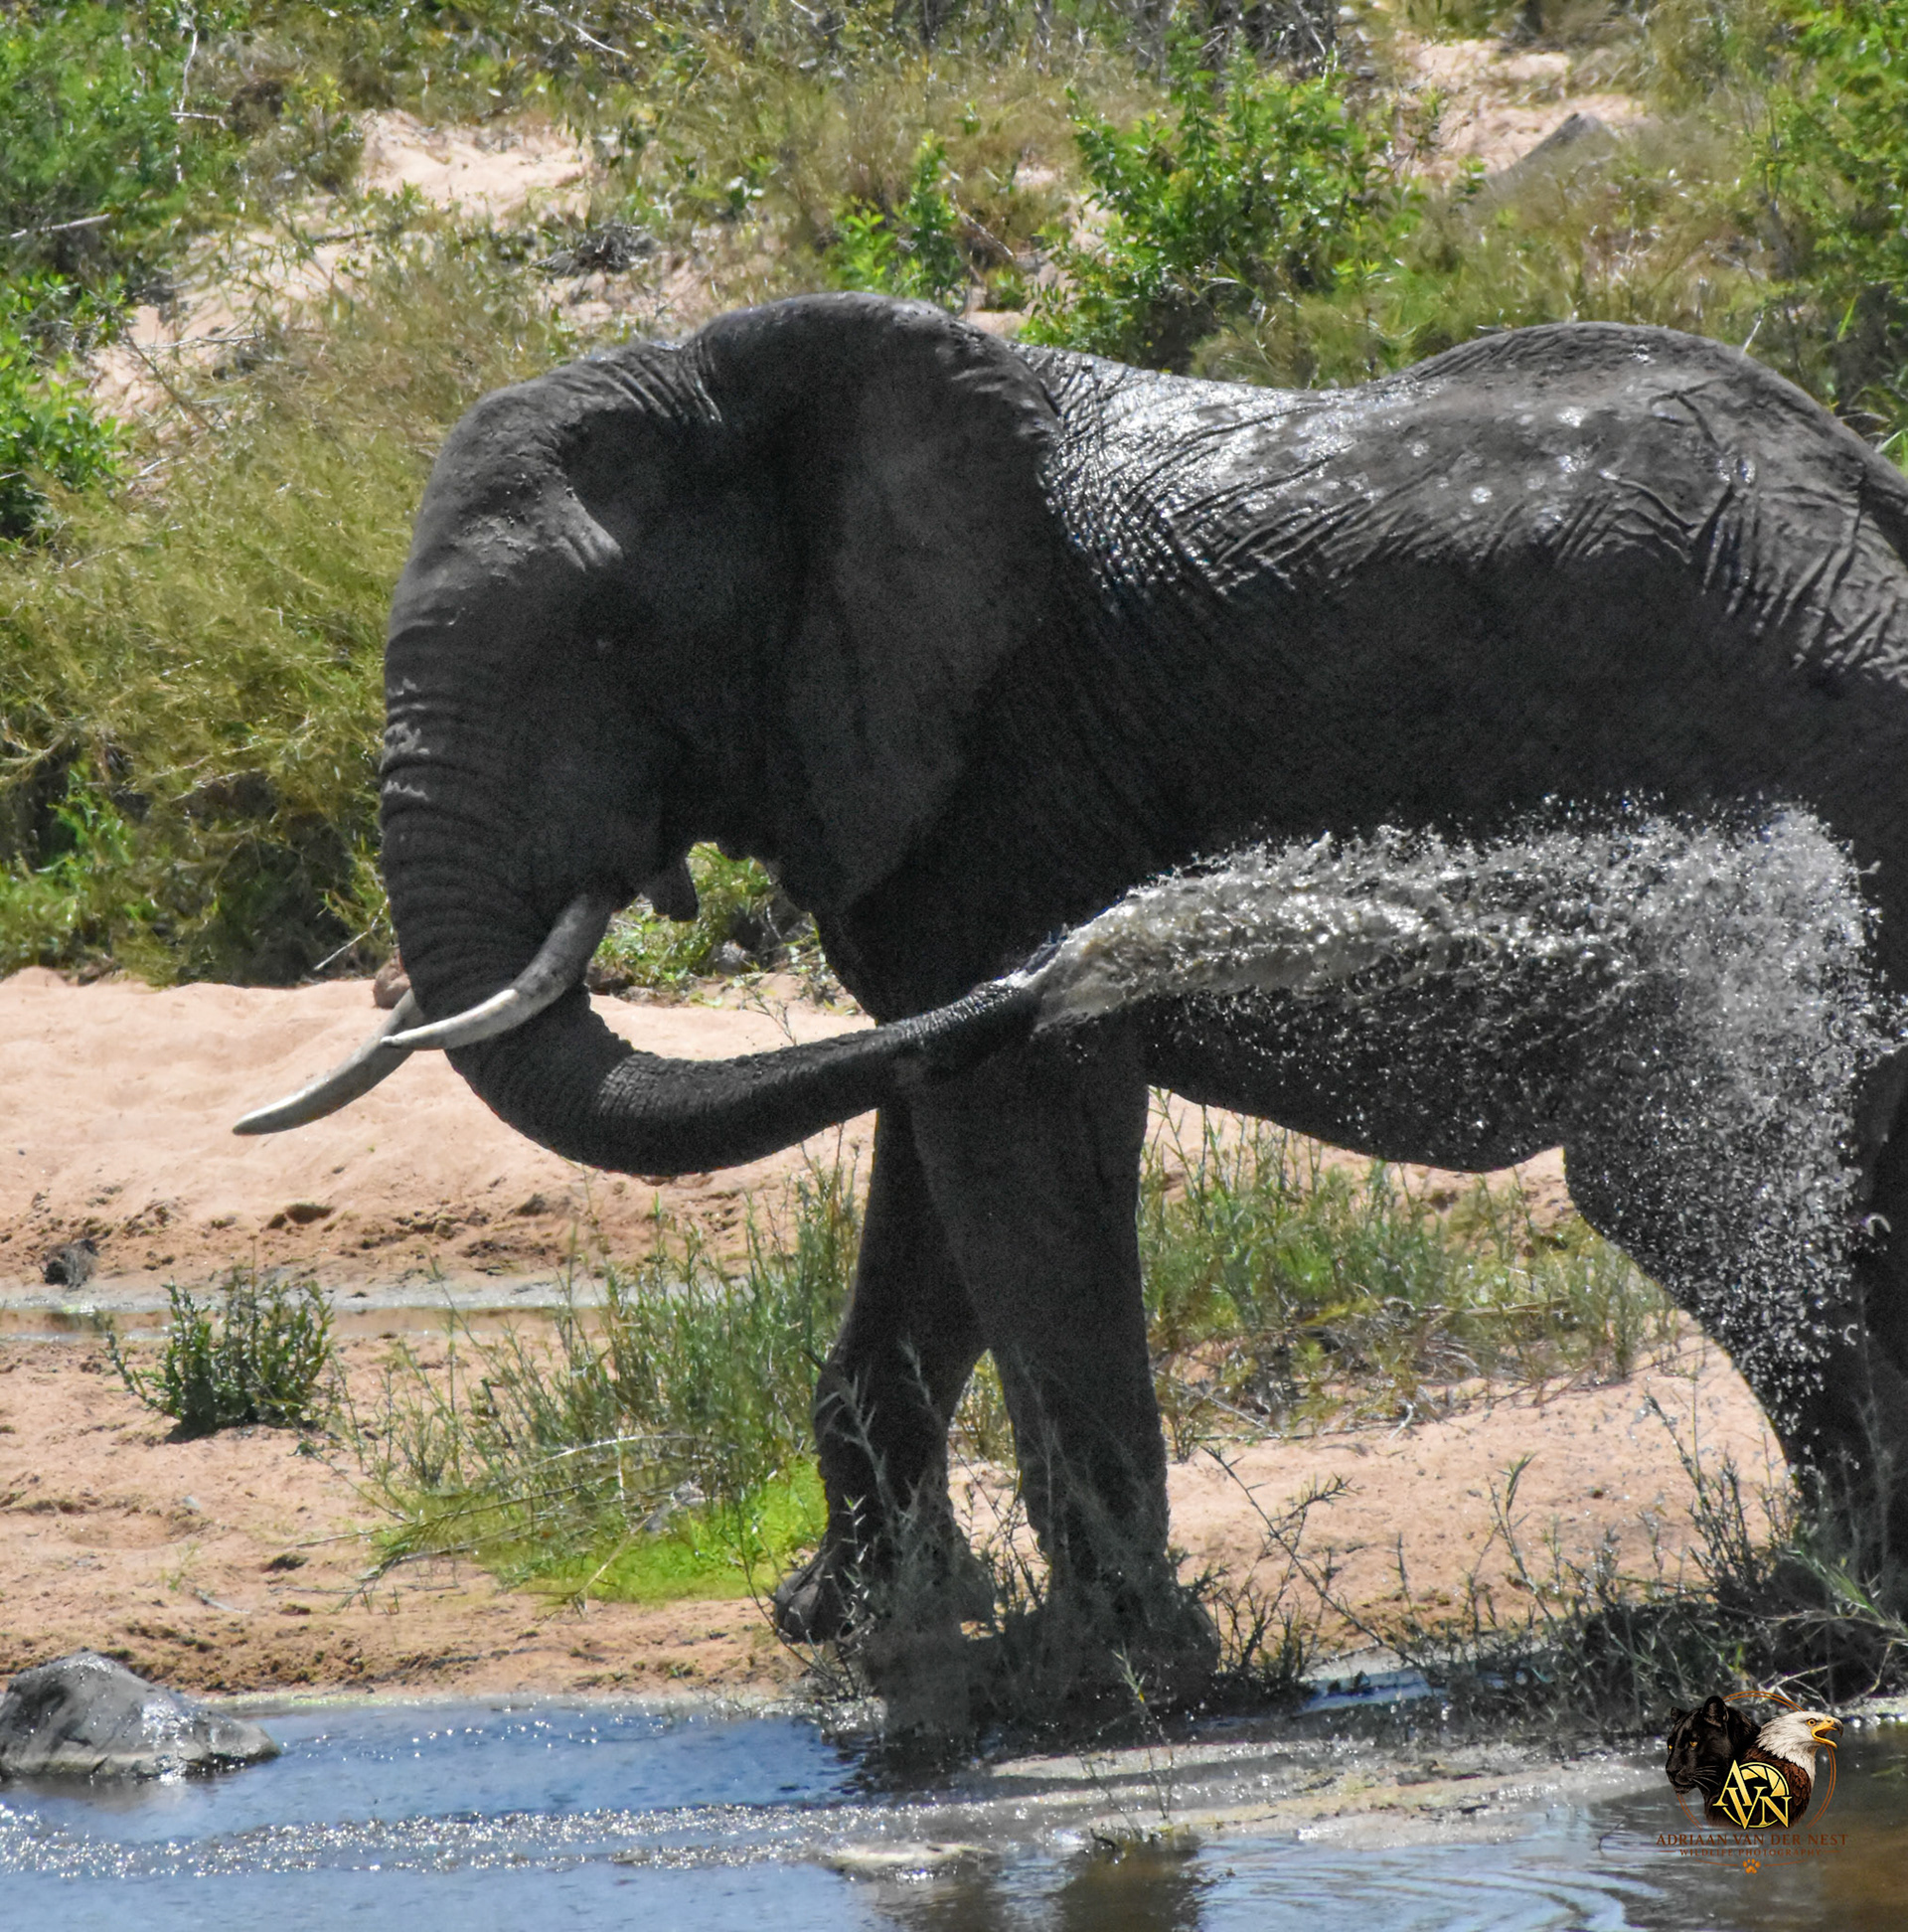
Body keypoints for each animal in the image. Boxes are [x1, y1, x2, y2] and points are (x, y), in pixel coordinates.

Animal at [243, 292, 1908, 1659]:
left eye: (602, 637)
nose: (1082, 960)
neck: (731, 377)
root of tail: (1863, 495)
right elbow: (929, 1144)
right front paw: (851, 1623)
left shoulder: (1010, 751)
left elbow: (1027, 1144)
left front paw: (1117, 1671)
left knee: (1687, 1186)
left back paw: (1828, 1595)